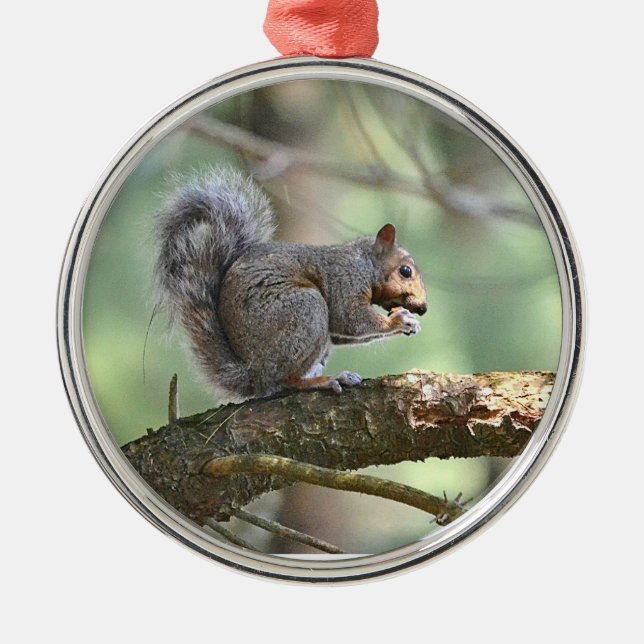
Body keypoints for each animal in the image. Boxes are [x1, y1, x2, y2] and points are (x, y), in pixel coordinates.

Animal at [154, 168, 427, 400]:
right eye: (405, 271)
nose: (423, 308)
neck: (365, 263)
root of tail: (254, 373)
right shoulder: (344, 280)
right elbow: (349, 318)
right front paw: (399, 321)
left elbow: (341, 331)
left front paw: (410, 324)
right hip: (306, 310)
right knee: (287, 381)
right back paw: (324, 381)